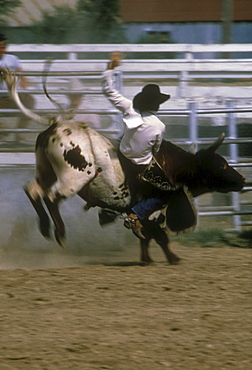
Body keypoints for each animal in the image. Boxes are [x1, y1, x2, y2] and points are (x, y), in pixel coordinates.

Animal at [1, 67, 246, 264]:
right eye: (222, 165)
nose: (243, 179)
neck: (173, 167)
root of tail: (57, 124)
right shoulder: (154, 208)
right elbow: (158, 235)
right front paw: (171, 258)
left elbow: (149, 236)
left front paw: (148, 259)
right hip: (75, 178)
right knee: (51, 197)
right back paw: (60, 233)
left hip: (45, 170)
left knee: (33, 190)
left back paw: (44, 227)